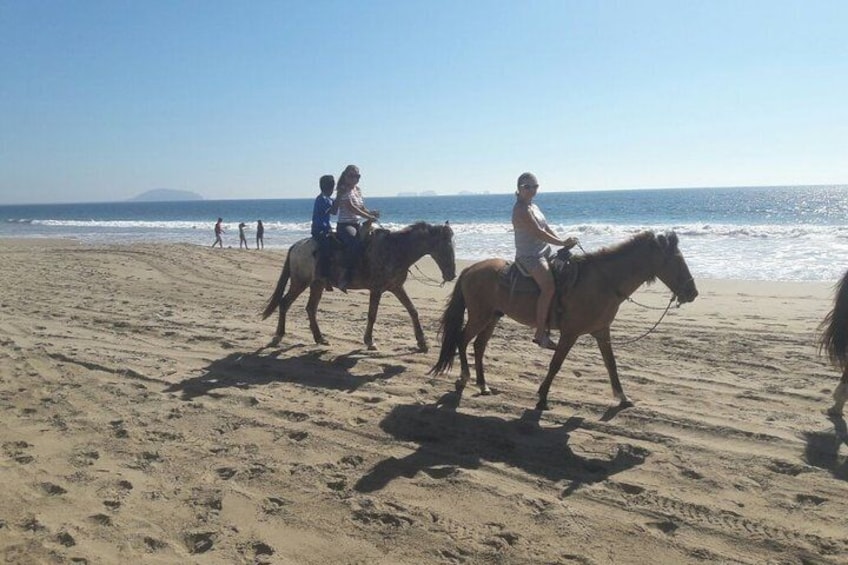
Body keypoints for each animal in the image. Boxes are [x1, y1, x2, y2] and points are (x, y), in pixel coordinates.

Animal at [262, 221, 454, 350]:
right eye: (446, 247)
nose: (452, 274)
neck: (395, 249)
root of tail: (296, 246)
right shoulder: (376, 289)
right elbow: (372, 315)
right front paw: (370, 341)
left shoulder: (396, 287)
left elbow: (413, 310)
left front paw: (422, 342)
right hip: (300, 282)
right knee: (285, 303)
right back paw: (278, 336)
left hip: (317, 284)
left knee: (310, 308)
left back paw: (319, 338)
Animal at [434, 231, 700, 412]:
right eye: (677, 260)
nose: (693, 292)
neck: (603, 282)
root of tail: (470, 270)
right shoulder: (570, 333)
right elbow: (556, 364)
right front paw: (542, 398)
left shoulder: (601, 331)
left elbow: (611, 365)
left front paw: (622, 397)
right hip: (480, 316)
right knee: (462, 340)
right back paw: (464, 378)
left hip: (492, 317)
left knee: (479, 346)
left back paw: (483, 385)